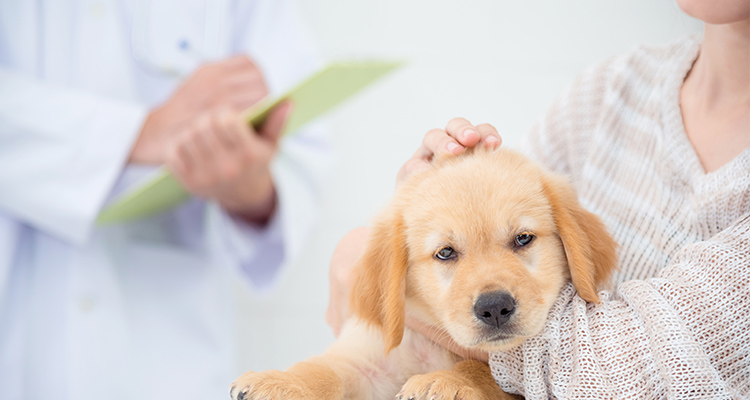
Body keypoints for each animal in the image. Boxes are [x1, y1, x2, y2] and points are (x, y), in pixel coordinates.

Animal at [232, 147, 620, 400]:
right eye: (445, 253)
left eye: (523, 239)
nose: (494, 308)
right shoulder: (370, 357)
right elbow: (325, 369)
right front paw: (280, 382)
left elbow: (484, 370)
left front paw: (449, 382)